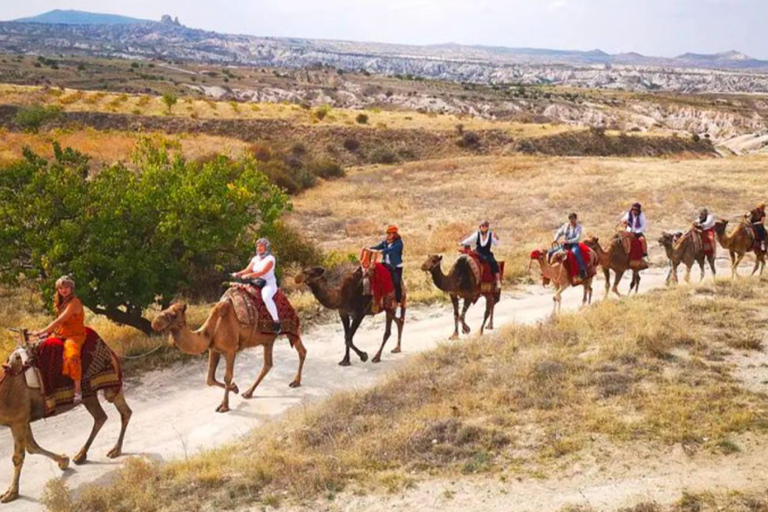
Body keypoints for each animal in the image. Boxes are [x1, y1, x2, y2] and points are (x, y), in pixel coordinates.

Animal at [0, 332, 130, 504]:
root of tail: (111, 351)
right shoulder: (22, 420)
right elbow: (32, 447)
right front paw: (63, 460)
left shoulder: (18, 419)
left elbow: (18, 456)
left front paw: (11, 493)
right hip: (90, 395)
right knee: (105, 416)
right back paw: (82, 455)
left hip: (107, 385)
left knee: (119, 411)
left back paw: (113, 450)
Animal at [150, 302, 306, 414]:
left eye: (173, 314)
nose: (155, 323)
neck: (210, 330)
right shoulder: (214, 350)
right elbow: (209, 379)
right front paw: (235, 388)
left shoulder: (230, 350)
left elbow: (227, 377)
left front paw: (224, 406)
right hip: (268, 340)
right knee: (268, 364)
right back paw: (248, 392)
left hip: (290, 329)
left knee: (302, 351)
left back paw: (295, 382)